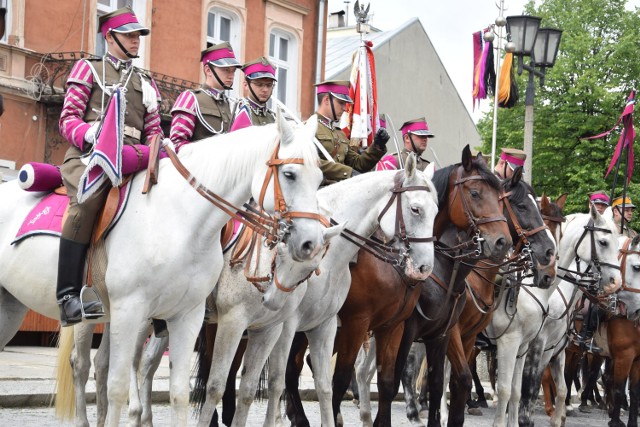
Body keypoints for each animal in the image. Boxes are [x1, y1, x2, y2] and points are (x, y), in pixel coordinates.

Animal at [0, 112, 328, 426]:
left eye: (319, 178)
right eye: (289, 174)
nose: (310, 242)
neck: (182, 219)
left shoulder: (189, 317)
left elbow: (180, 392)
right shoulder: (135, 311)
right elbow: (120, 386)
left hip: (14, 308)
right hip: (89, 315)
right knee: (81, 366)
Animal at [490, 209, 620, 427]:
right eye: (603, 242)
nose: (615, 284)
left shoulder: (556, 350)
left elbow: (561, 387)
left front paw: (559, 416)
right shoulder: (536, 346)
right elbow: (531, 387)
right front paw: (527, 419)